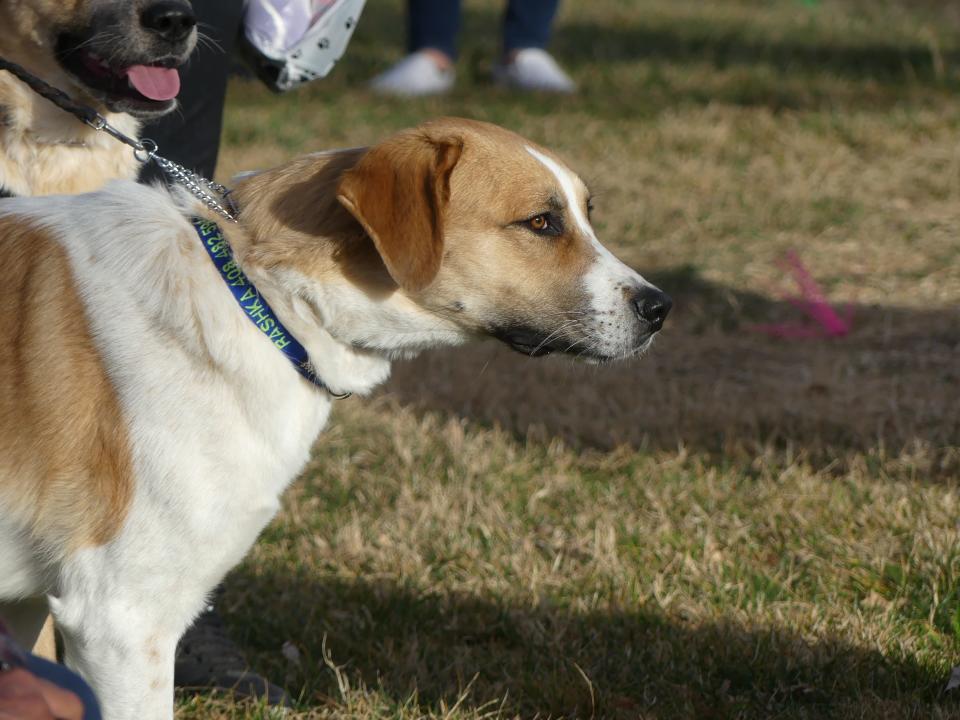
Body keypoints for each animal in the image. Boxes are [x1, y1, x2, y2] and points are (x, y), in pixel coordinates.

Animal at [0, 119, 668, 720]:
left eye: (587, 213)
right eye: (540, 222)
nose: (659, 308)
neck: (258, 294)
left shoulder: (36, 610)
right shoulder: (120, 618)